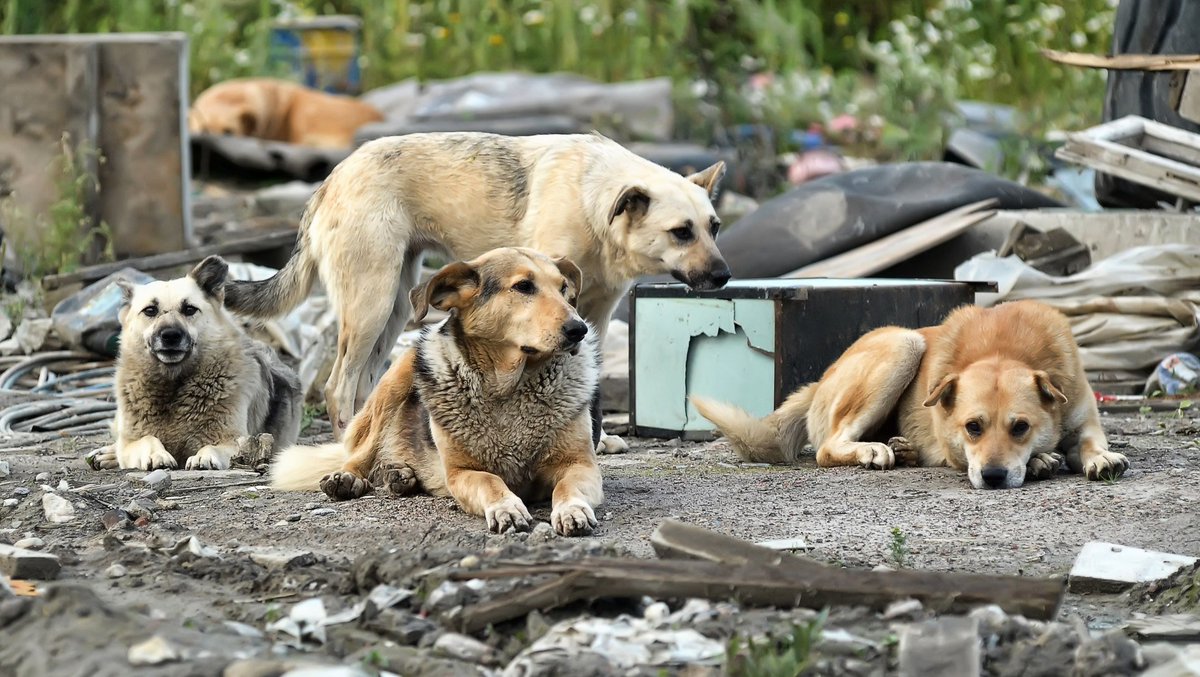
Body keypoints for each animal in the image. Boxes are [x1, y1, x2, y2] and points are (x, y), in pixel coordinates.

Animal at [89, 256, 304, 472]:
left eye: (189, 309)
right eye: (150, 310)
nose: (170, 336)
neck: (174, 384)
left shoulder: (235, 440)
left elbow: (213, 446)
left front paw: (204, 457)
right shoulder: (131, 442)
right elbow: (147, 439)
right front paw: (156, 455)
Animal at [224, 132, 729, 451]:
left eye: (715, 227)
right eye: (681, 232)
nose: (724, 276)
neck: (594, 203)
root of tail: (332, 177)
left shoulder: (595, 316)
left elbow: (592, 383)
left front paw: (597, 438)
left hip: (394, 308)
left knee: (366, 384)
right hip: (371, 303)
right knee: (337, 385)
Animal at [691, 300, 1128, 487]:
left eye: (1020, 427)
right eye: (972, 427)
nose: (992, 477)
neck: (1006, 350)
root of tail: (821, 380)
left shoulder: (1082, 415)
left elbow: (1088, 440)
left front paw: (1098, 457)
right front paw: (1040, 461)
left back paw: (904, 449)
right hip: (903, 344)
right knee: (827, 447)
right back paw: (873, 450)